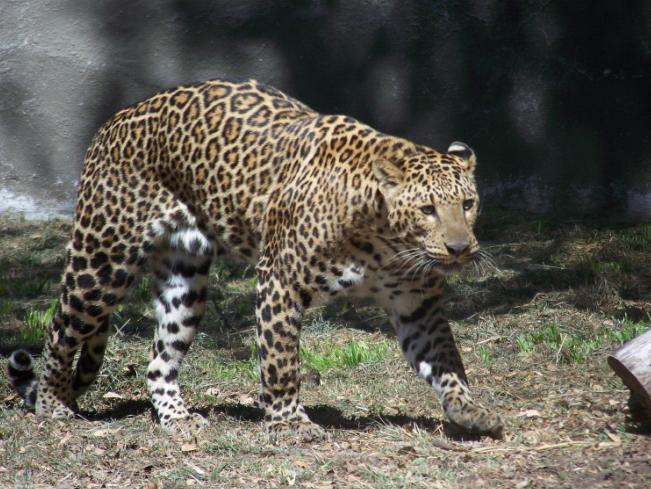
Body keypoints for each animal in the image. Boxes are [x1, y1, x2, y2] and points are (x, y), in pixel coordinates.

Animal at [8, 79, 503, 441]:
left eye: (468, 203)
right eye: (427, 210)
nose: (460, 249)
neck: (384, 240)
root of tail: (113, 120)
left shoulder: (417, 304)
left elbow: (446, 358)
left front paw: (469, 409)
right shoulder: (280, 280)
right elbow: (281, 360)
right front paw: (289, 421)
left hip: (185, 283)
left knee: (159, 358)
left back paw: (178, 418)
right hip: (101, 260)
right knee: (61, 328)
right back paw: (53, 404)